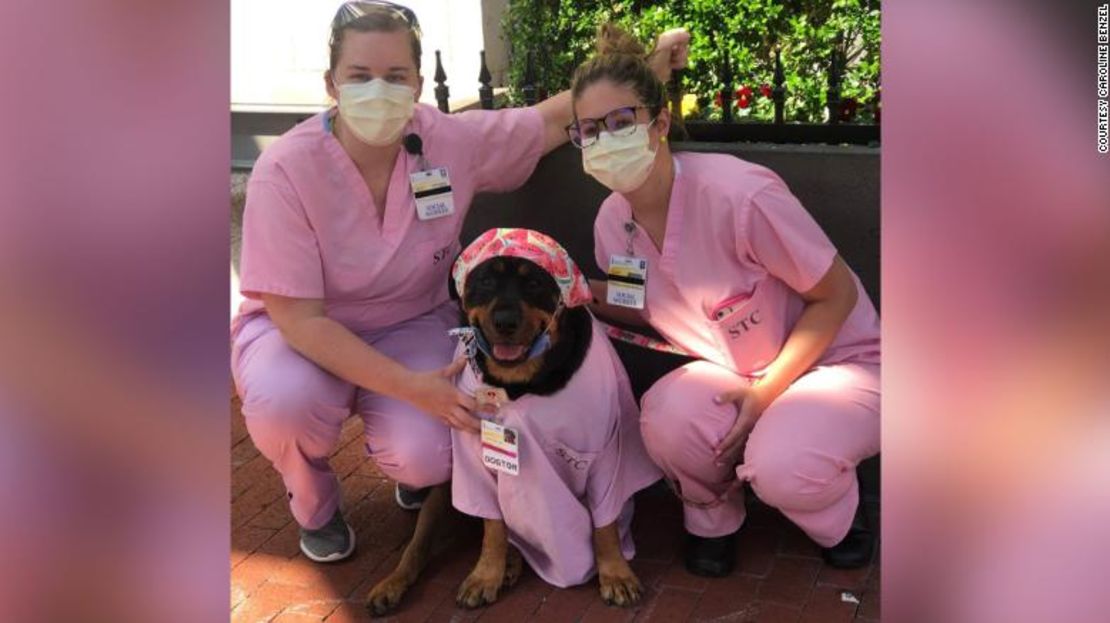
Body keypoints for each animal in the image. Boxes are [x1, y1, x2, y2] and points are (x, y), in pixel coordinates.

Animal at [364, 228, 657, 613]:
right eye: (485, 281)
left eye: (534, 282)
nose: (505, 322)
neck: (520, 381)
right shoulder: (475, 463)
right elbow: (493, 526)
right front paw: (486, 574)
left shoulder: (608, 452)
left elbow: (605, 524)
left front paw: (616, 573)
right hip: (443, 491)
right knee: (418, 547)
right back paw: (394, 584)